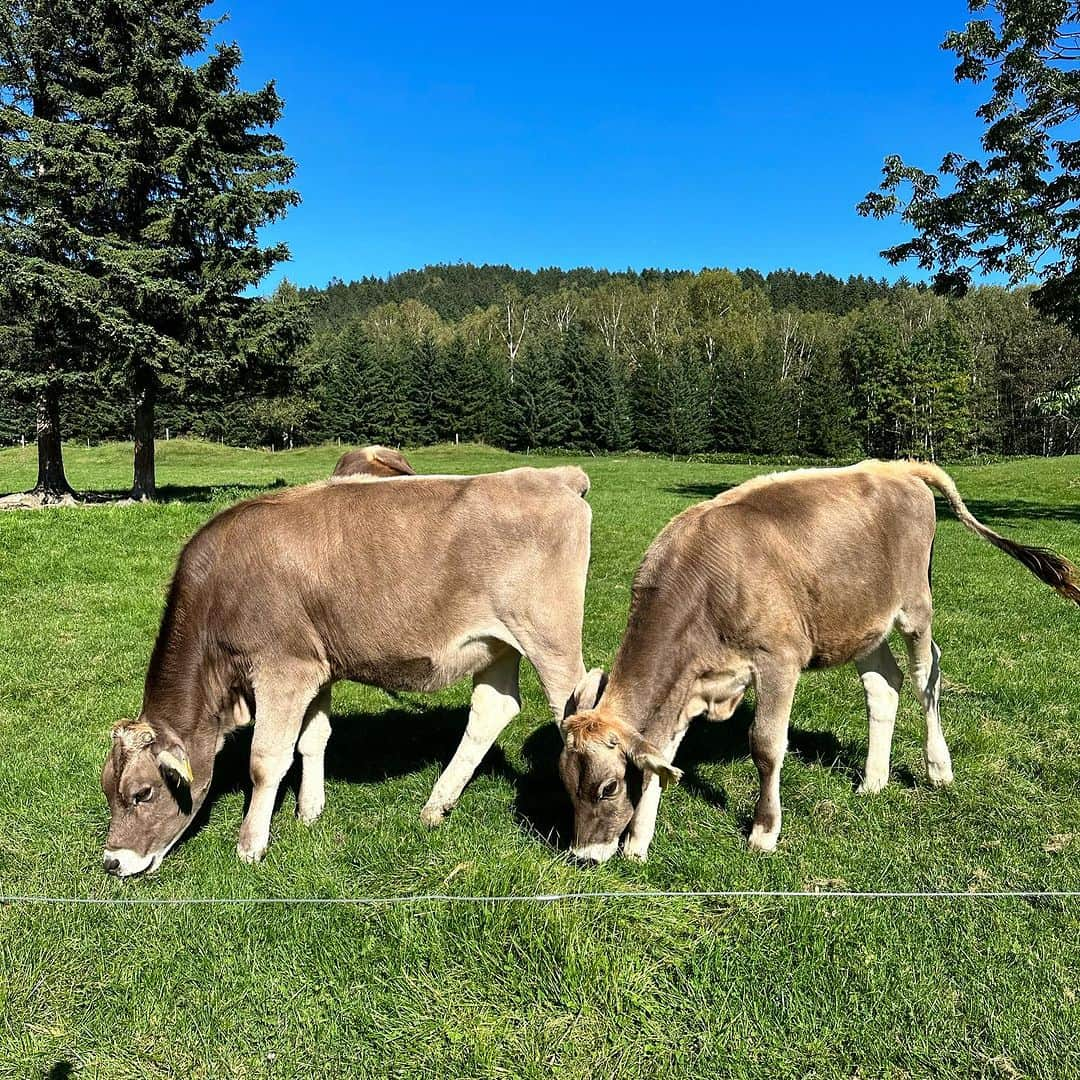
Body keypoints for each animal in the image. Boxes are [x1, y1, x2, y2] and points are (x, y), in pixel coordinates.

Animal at [101, 466, 591, 876]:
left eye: (142, 792)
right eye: (107, 789)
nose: (112, 861)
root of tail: (555, 475)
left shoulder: (282, 669)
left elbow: (266, 759)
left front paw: (251, 844)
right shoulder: (313, 668)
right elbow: (312, 738)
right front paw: (309, 810)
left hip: (549, 637)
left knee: (579, 713)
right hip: (498, 644)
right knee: (493, 710)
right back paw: (436, 806)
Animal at [561, 460, 1075, 864]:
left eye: (608, 787)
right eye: (565, 783)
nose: (585, 856)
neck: (699, 586)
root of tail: (898, 467)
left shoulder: (778, 660)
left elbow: (766, 745)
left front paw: (764, 831)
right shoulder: (691, 683)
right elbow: (661, 759)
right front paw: (638, 843)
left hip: (915, 607)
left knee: (926, 676)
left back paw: (937, 768)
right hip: (861, 620)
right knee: (884, 684)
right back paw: (873, 780)